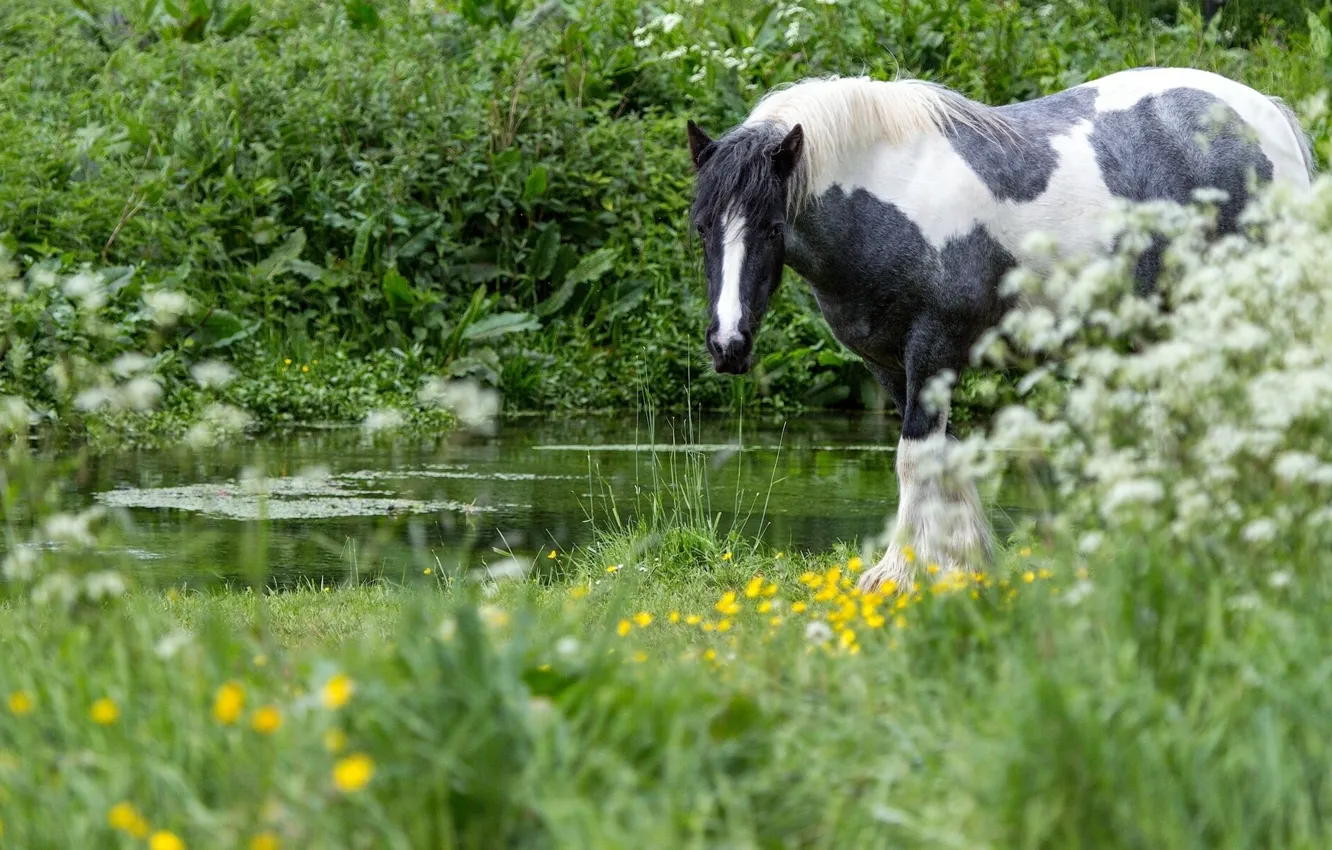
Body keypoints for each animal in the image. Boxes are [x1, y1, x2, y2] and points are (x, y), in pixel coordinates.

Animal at [685, 67, 1314, 594]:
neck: (889, 194)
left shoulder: (933, 348)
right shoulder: (887, 364)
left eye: (772, 227)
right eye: (702, 227)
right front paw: (964, 563)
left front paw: (901, 574)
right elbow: (944, 458)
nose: (727, 345)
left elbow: (914, 458)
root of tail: (1267, 115)